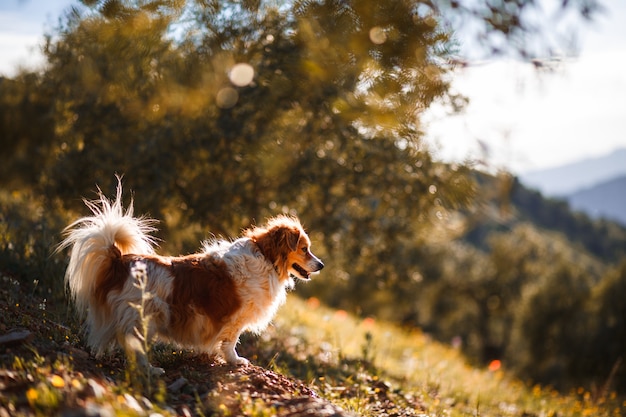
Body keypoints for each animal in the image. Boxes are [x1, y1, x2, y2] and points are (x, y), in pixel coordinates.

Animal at [58, 182, 322, 368]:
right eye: (304, 249)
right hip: (145, 319)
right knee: (136, 350)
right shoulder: (235, 318)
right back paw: (151, 370)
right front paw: (234, 360)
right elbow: (230, 341)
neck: (266, 257)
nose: (321, 264)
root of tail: (119, 261)